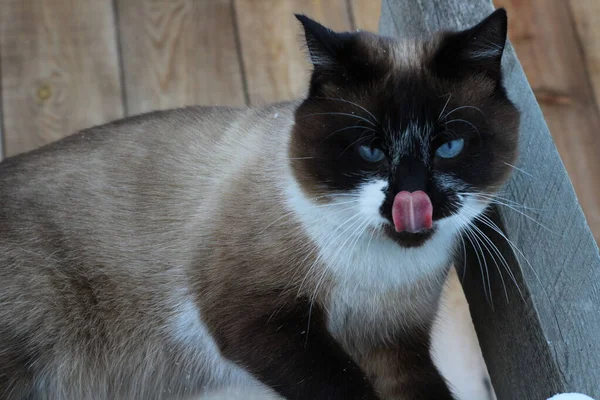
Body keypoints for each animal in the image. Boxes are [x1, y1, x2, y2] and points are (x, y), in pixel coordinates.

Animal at [0, 8, 516, 400]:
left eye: (449, 147)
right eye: (371, 151)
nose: (411, 200)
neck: (380, 272)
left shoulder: (393, 343)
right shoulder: (263, 317)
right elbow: (343, 387)